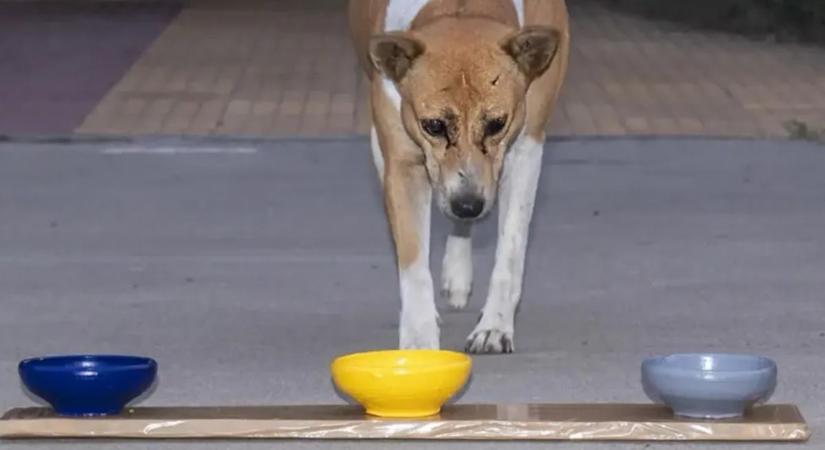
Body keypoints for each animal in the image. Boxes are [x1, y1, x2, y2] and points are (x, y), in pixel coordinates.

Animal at [346, 0, 568, 354]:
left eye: (497, 123)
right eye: (434, 125)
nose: (468, 205)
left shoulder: (526, 148)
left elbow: (511, 248)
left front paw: (494, 326)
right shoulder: (403, 161)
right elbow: (412, 259)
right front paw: (419, 339)